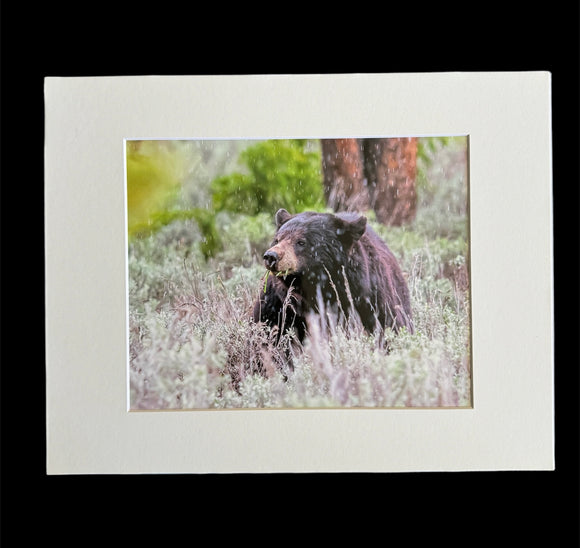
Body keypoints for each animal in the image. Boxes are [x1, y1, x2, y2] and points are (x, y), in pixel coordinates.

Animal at [254, 210, 412, 342]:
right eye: (277, 239)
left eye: (301, 242)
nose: (271, 256)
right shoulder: (279, 301)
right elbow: (267, 325)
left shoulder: (368, 297)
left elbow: (388, 324)